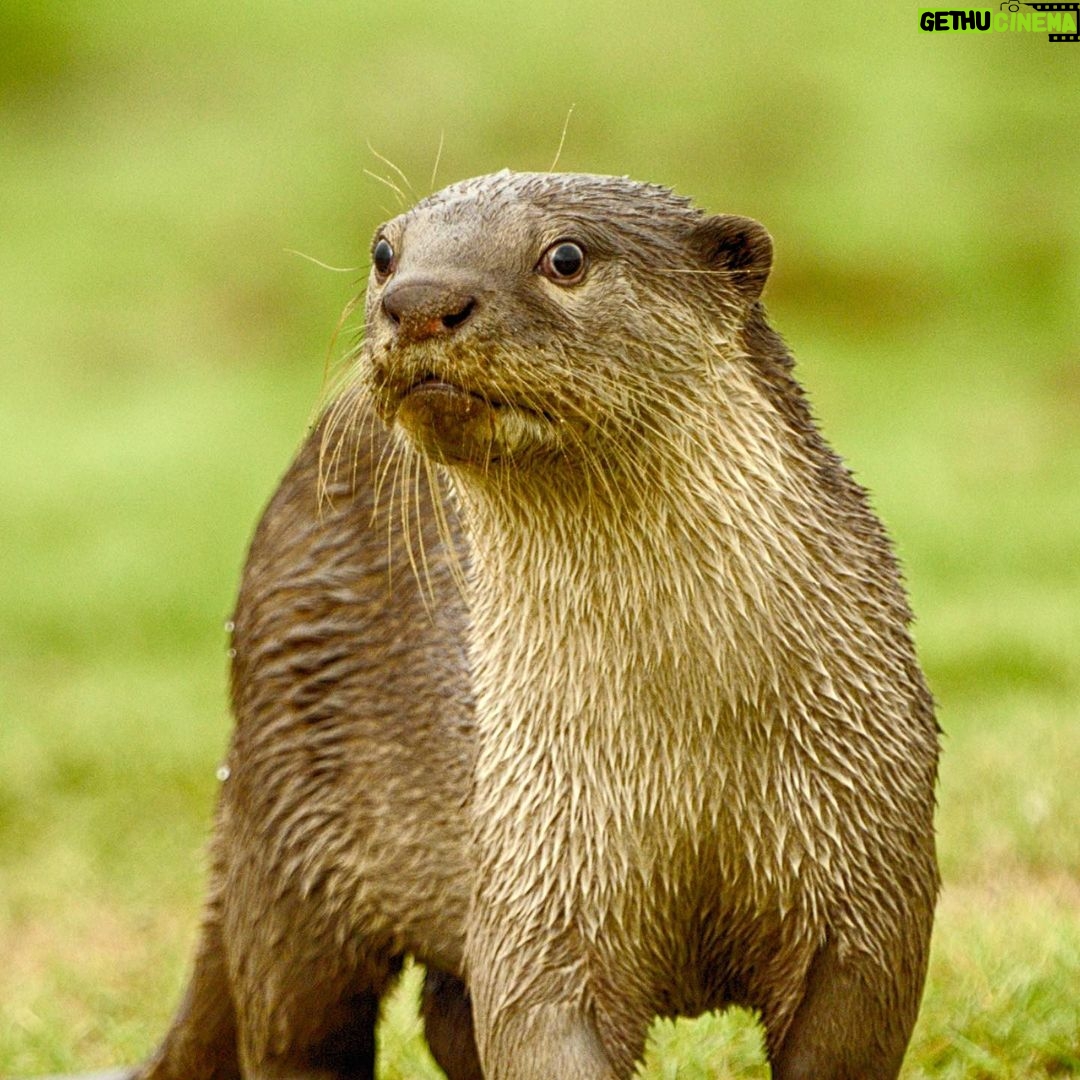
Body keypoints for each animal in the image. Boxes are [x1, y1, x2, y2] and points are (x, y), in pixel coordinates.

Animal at [64, 170, 938, 1080]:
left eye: (566, 256)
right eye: (384, 251)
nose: (420, 300)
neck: (692, 752)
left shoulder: (867, 888)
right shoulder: (534, 879)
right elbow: (531, 1024)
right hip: (290, 831)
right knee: (296, 1023)